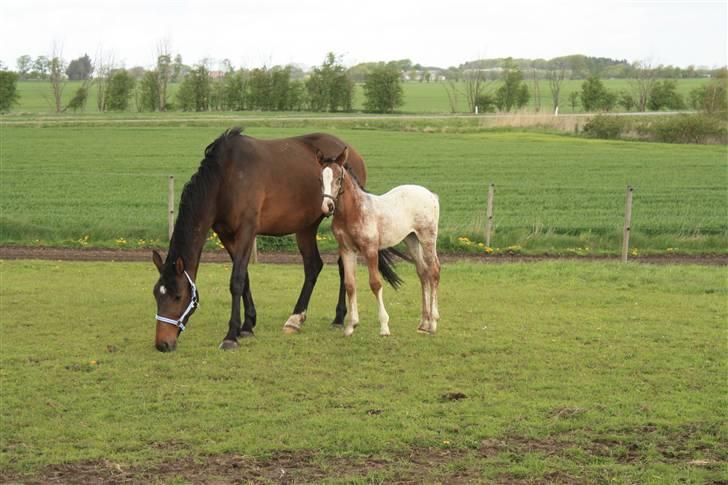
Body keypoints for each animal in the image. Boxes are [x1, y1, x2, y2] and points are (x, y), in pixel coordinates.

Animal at [152, 126, 404, 350]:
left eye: (177, 296)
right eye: (156, 294)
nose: (163, 344)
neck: (226, 176)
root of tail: (351, 153)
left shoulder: (246, 231)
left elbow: (236, 280)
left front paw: (231, 335)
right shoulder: (226, 235)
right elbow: (245, 278)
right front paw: (247, 325)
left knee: (343, 267)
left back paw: (338, 319)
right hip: (306, 227)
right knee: (314, 266)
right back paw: (296, 319)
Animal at [320, 147, 444, 336]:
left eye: (338, 179)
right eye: (320, 178)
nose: (327, 206)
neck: (353, 211)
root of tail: (431, 195)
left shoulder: (370, 250)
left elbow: (375, 284)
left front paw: (384, 327)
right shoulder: (347, 250)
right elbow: (350, 285)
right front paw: (351, 326)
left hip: (427, 238)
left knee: (434, 270)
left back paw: (433, 323)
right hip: (411, 239)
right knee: (423, 272)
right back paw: (424, 322)